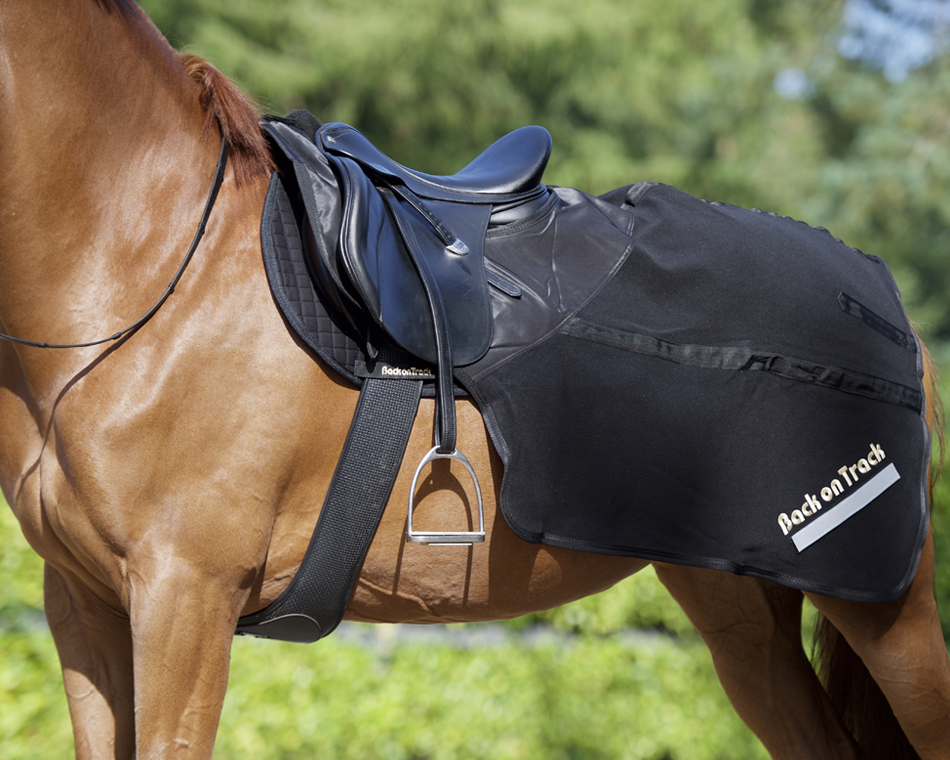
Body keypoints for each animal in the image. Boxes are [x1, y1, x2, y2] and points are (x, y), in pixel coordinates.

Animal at [2, 2, 948, 758]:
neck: (151, 260)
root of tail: (879, 293)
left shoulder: (185, 600)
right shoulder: (88, 609)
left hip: (886, 611)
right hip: (741, 612)